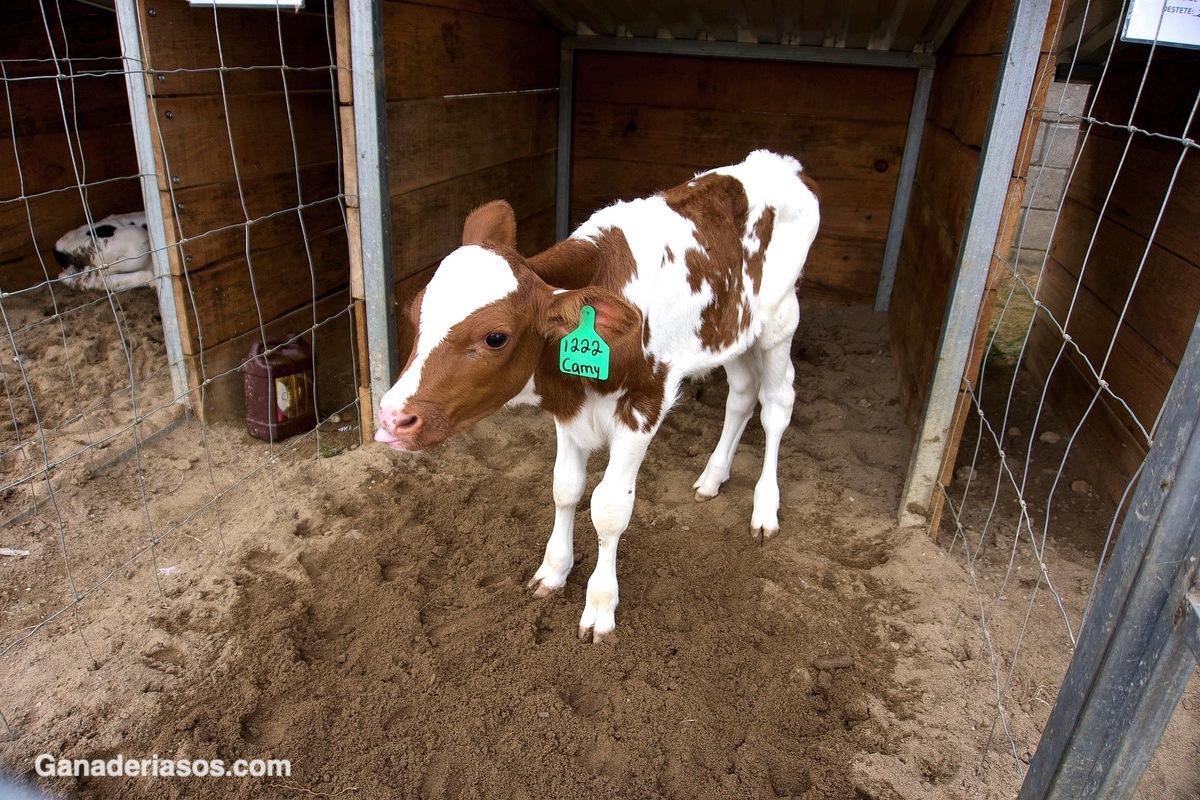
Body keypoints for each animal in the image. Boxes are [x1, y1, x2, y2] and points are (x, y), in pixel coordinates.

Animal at [379, 149, 820, 642]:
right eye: (415, 310)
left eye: (496, 337)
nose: (392, 417)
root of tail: (780, 162)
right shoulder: (569, 406)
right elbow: (565, 489)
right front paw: (553, 571)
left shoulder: (646, 404)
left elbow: (608, 508)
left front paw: (600, 607)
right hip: (734, 328)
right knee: (741, 394)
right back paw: (712, 478)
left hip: (780, 320)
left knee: (776, 406)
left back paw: (765, 509)